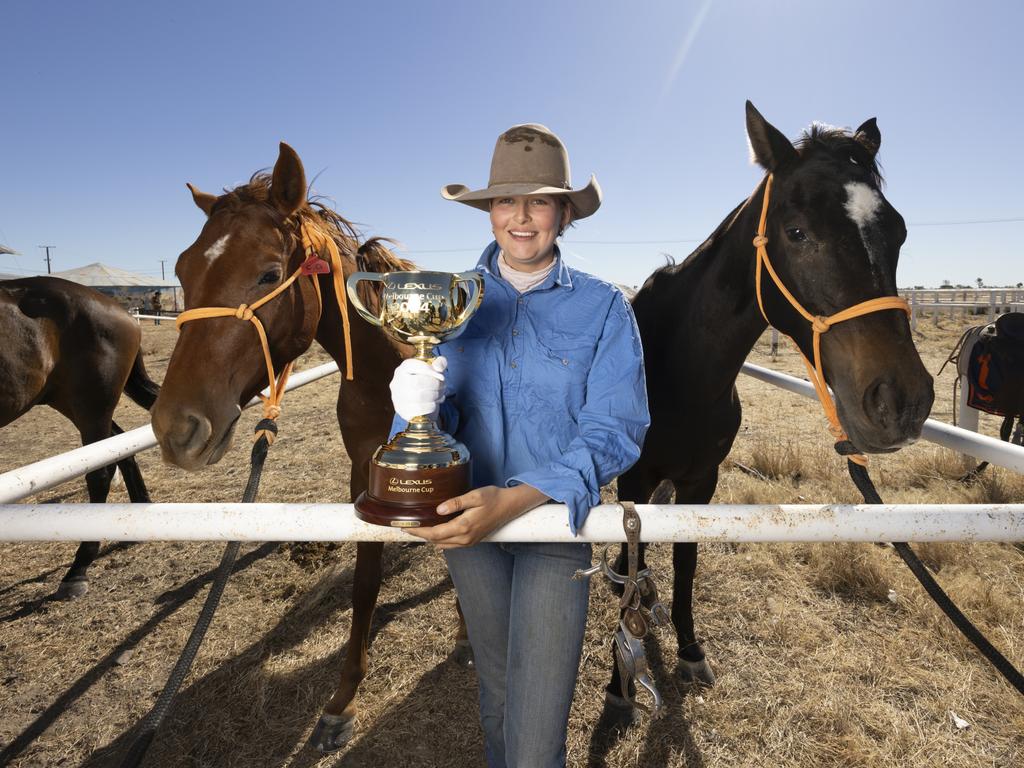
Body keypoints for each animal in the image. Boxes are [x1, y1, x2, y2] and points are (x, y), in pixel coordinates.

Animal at [0, 280, 157, 598]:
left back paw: (78, 570)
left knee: (100, 472)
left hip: (90, 404)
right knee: (118, 445)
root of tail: (121, 311)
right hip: (69, 402)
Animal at [150, 144, 468, 753]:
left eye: (269, 273)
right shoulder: (365, 476)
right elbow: (365, 586)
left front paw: (469, 634)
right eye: (181, 270)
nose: (176, 428)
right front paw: (343, 702)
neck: (391, 372)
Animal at [606, 105, 937, 700]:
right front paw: (623, 667)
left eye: (898, 231)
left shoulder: (700, 480)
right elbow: (629, 550)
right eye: (797, 232)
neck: (677, 372)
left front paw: (688, 649)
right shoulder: (634, 478)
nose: (902, 401)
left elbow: (686, 560)